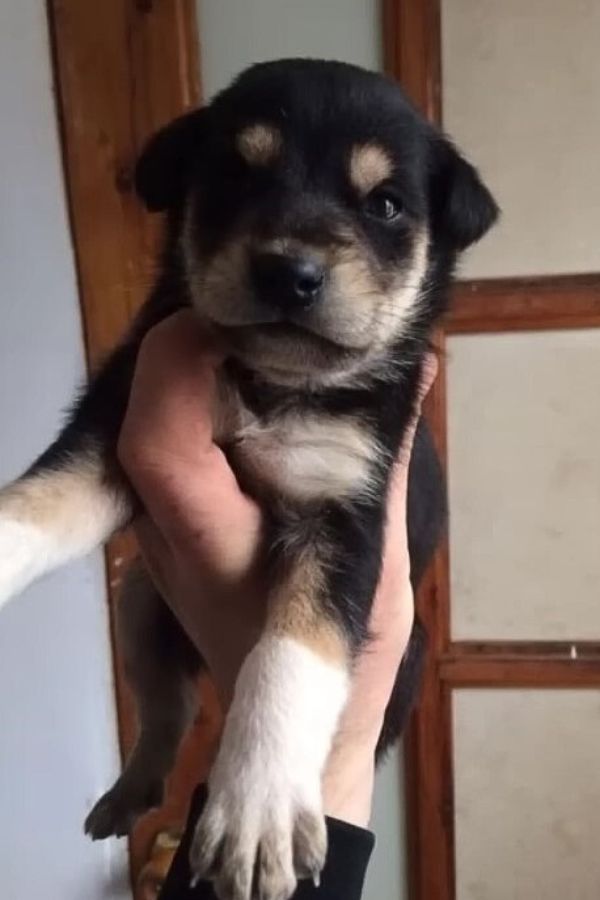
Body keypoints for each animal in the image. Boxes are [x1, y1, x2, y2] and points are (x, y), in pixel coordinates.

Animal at [0, 59, 496, 896]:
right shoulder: (112, 430)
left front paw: (256, 809)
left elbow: (289, 652)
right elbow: (40, 500)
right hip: (138, 604)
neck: (269, 380)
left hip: (402, 657)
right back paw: (128, 794)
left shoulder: (346, 515)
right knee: (166, 710)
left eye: (385, 204)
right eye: (234, 175)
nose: (288, 272)